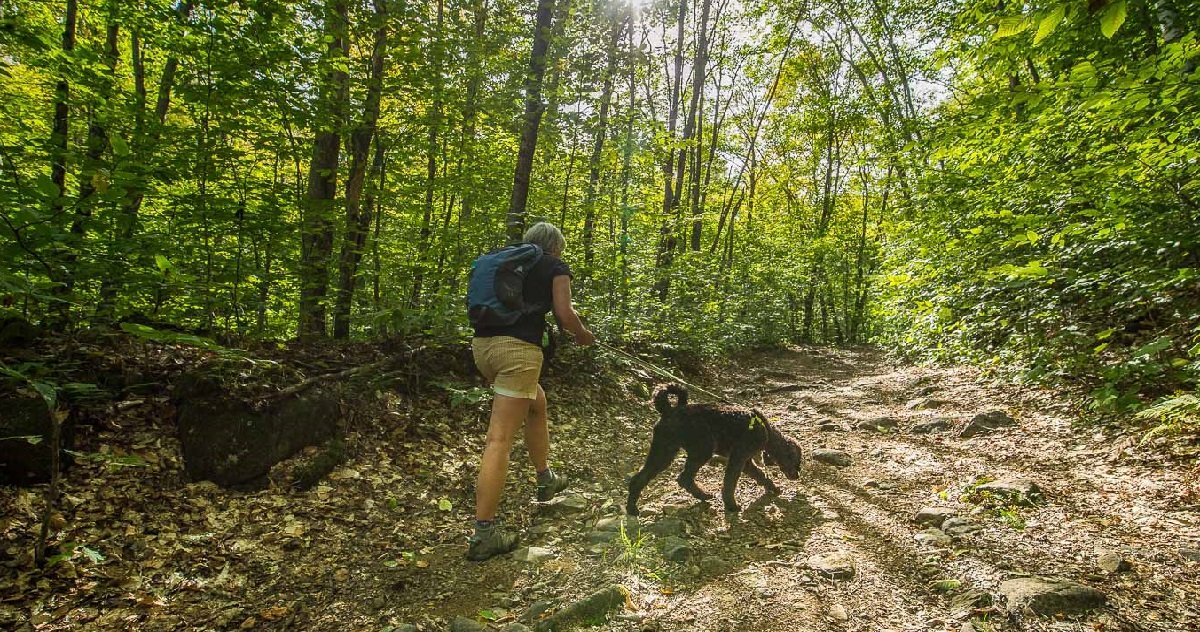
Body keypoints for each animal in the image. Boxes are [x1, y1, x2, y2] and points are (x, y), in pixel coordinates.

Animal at [628, 386, 806, 513]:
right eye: (797, 461)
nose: (798, 475)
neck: (767, 430)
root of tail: (669, 410)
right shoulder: (738, 458)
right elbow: (730, 483)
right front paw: (731, 505)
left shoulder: (746, 462)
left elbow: (761, 476)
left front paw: (773, 488)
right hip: (701, 449)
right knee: (684, 478)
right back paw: (703, 495)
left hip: (664, 451)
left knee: (640, 478)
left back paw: (632, 509)